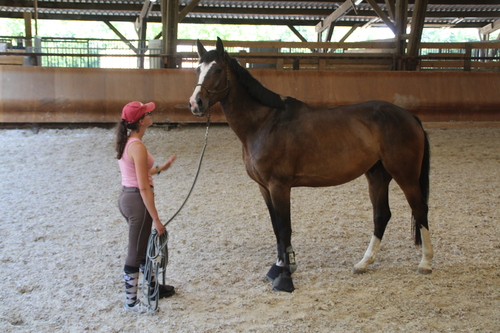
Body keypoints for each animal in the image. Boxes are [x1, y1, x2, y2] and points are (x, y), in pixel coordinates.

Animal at [189, 37, 432, 290]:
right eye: (197, 69)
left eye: (217, 69)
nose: (196, 103)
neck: (265, 123)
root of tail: (409, 116)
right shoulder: (264, 187)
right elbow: (276, 227)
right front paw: (277, 267)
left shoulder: (279, 186)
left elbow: (285, 228)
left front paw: (286, 276)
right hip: (377, 175)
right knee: (381, 215)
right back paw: (364, 263)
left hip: (405, 175)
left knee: (420, 209)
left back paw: (425, 263)